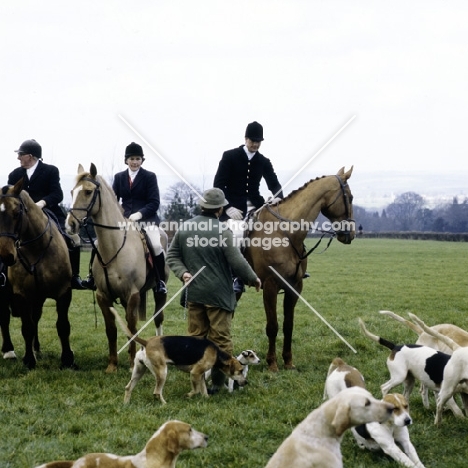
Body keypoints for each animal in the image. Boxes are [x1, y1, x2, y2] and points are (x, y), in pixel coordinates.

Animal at [0, 179, 76, 370]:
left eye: (17, 212)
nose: (6, 255)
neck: (37, 249)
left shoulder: (63, 292)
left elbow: (62, 325)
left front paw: (67, 359)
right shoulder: (21, 294)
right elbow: (27, 327)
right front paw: (29, 360)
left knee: (35, 318)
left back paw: (36, 349)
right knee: (4, 318)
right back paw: (8, 350)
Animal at [66, 165, 168, 372]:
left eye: (88, 192)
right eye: (72, 192)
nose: (70, 225)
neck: (114, 247)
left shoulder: (132, 294)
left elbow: (131, 328)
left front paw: (131, 364)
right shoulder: (103, 296)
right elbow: (111, 329)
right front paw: (112, 365)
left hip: (159, 291)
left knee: (158, 318)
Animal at [241, 166, 354, 372]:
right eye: (349, 197)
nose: (351, 233)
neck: (285, 233)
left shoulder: (294, 286)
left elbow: (288, 325)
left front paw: (288, 361)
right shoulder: (270, 286)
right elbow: (272, 326)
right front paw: (272, 363)